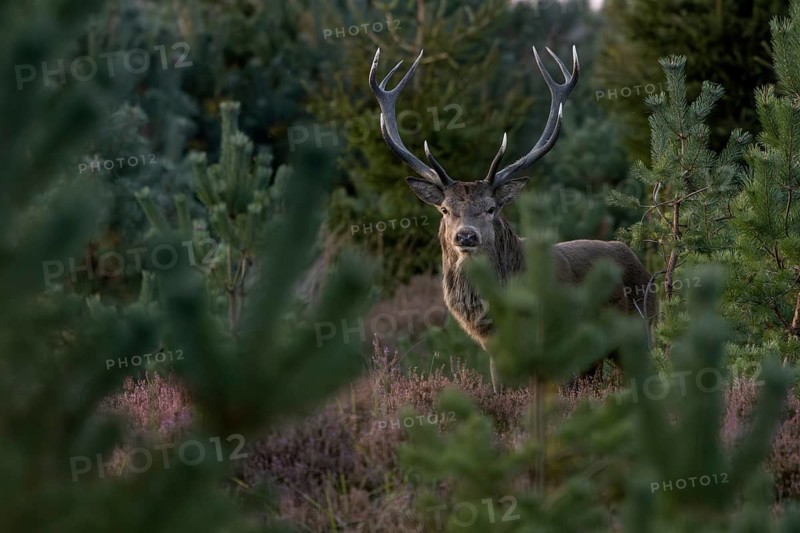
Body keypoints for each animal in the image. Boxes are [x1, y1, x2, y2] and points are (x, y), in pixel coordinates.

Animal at [369, 46, 655, 392]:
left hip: (641, 330)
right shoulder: (497, 357)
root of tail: (639, 262)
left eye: (491, 208)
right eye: (445, 209)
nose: (466, 236)